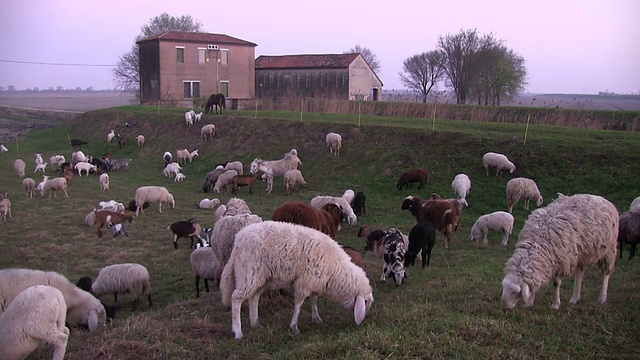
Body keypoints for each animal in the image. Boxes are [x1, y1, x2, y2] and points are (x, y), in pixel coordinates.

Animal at [219, 221, 372, 338]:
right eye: (365, 302)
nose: (363, 322)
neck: (335, 268)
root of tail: (238, 239)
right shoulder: (304, 282)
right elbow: (299, 305)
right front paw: (294, 327)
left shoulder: (314, 281)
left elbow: (314, 300)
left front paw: (316, 318)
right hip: (248, 272)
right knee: (236, 298)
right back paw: (238, 332)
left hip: (260, 276)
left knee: (254, 297)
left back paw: (255, 323)